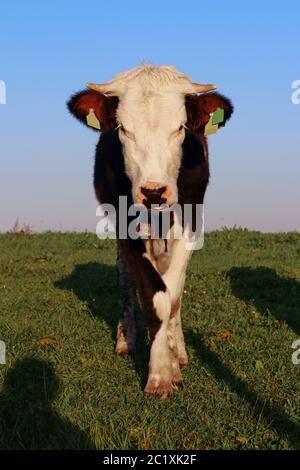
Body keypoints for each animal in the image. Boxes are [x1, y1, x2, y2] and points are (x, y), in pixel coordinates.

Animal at [67, 65, 233, 396]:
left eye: (180, 127)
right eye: (123, 129)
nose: (153, 192)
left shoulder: (190, 222)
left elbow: (172, 294)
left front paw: (171, 357)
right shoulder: (125, 224)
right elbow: (153, 296)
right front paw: (160, 373)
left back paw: (177, 348)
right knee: (126, 278)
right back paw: (127, 340)